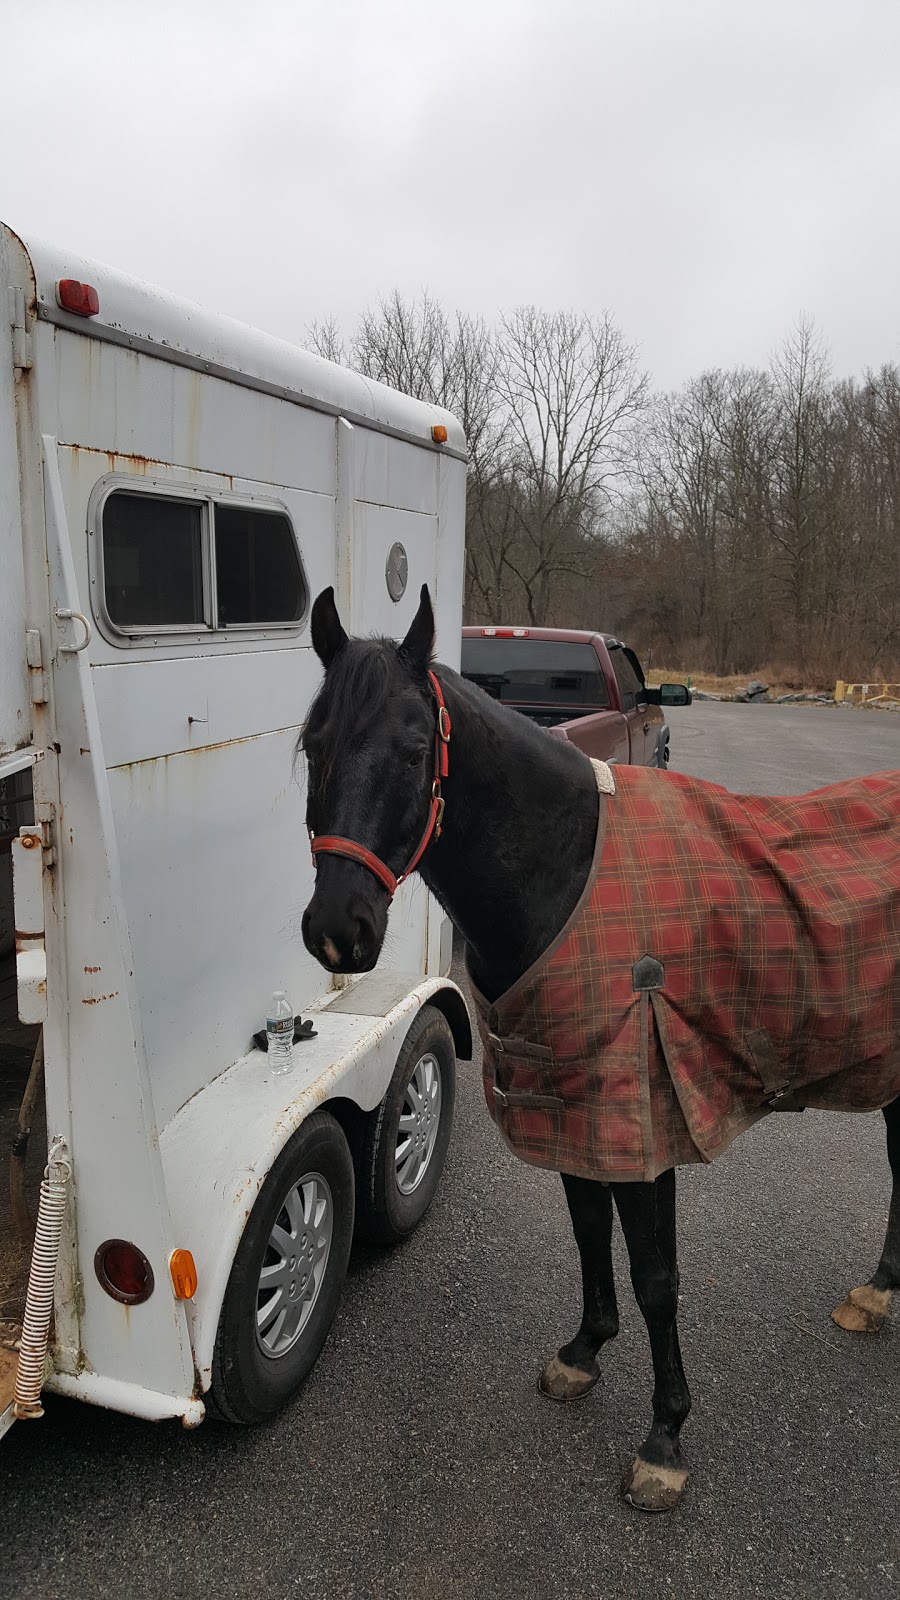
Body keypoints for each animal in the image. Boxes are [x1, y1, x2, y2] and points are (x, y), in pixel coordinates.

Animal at [301, 585, 896, 1510]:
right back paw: (876, 1295)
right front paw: (583, 1353)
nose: (339, 929)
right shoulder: (570, 1102)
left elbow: (657, 1278)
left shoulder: (642, 1123)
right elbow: (588, 1233)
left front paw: (665, 1438)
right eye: (311, 744)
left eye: (412, 751)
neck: (565, 875)